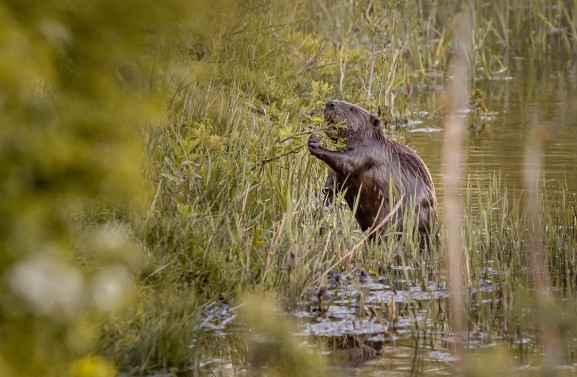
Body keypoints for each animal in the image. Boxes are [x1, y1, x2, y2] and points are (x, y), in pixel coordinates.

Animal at [308, 99, 434, 235]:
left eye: (352, 109)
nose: (330, 103)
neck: (372, 141)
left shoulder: (369, 153)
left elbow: (348, 162)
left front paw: (315, 145)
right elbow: (333, 179)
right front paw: (325, 201)